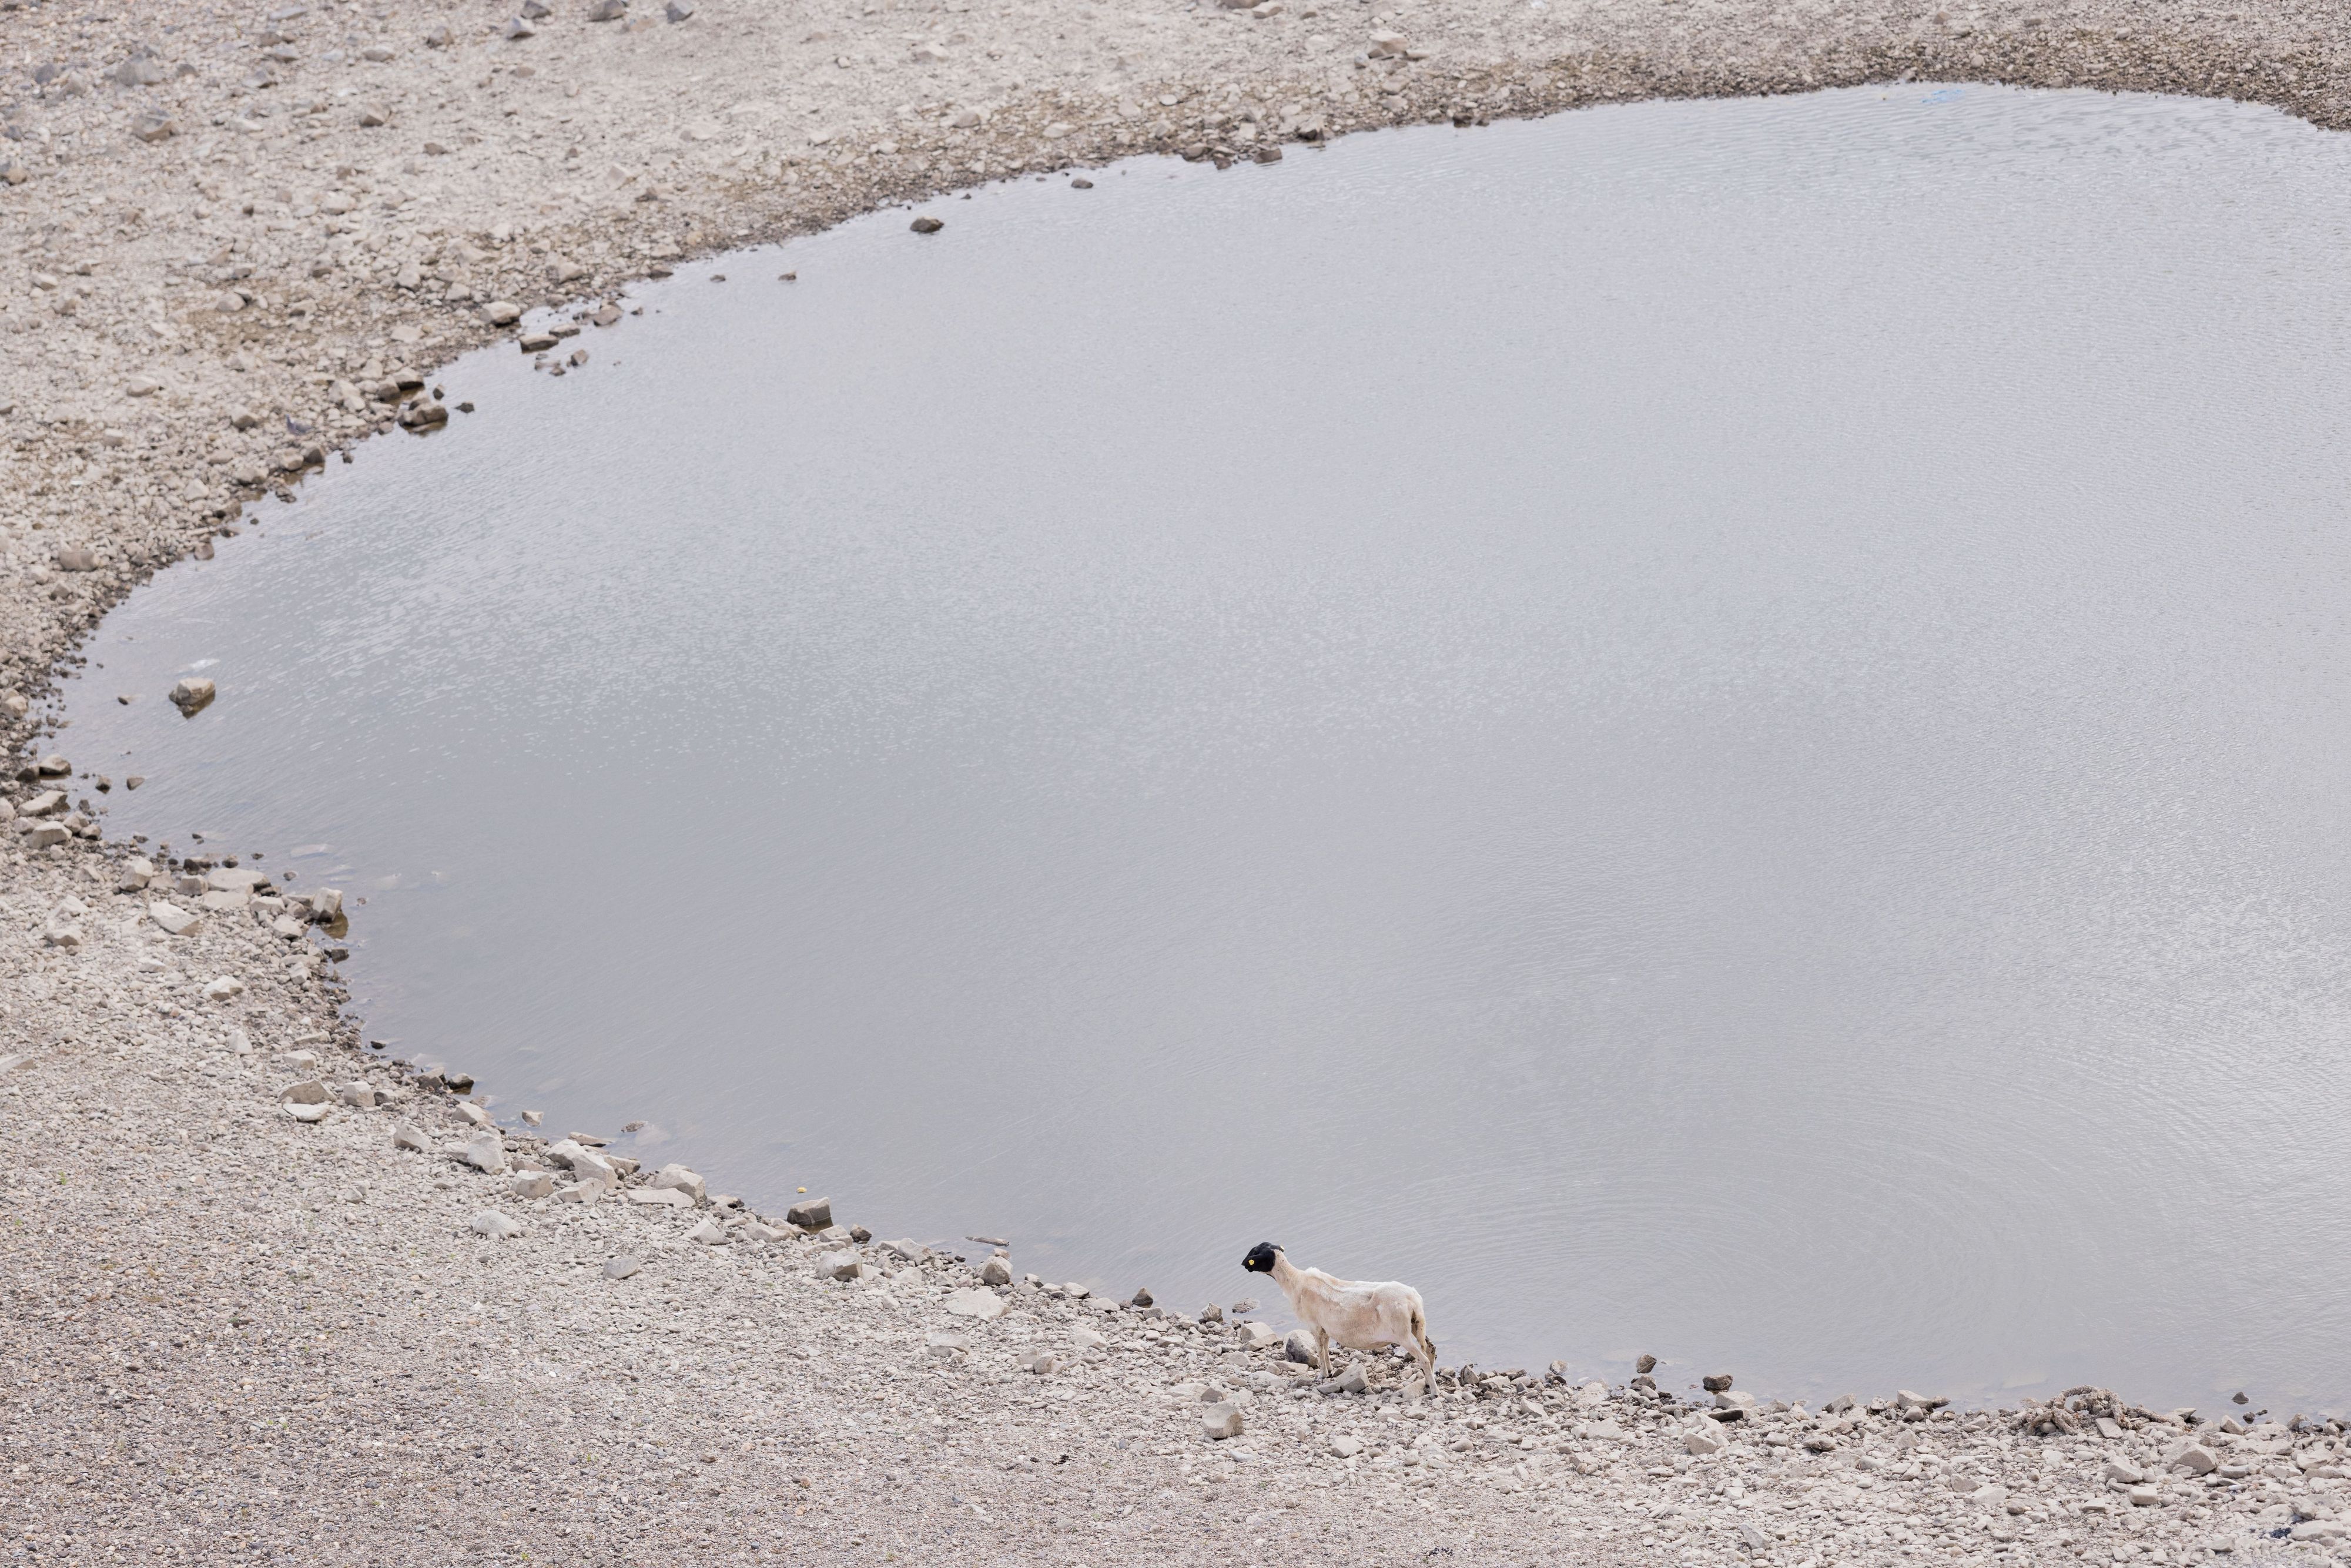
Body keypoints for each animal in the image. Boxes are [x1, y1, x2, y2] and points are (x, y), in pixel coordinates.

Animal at [1241, 1242, 1436, 1385]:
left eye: (1255, 1252)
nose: (1244, 1265)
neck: (1294, 1281)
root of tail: (1413, 1299)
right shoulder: (1325, 1328)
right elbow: (1326, 1348)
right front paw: (1329, 1371)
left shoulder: (1315, 1326)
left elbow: (1320, 1350)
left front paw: (1321, 1375)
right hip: (1418, 1325)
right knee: (1430, 1349)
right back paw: (1429, 1383)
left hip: (1402, 1332)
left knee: (1424, 1359)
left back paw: (1434, 1392)